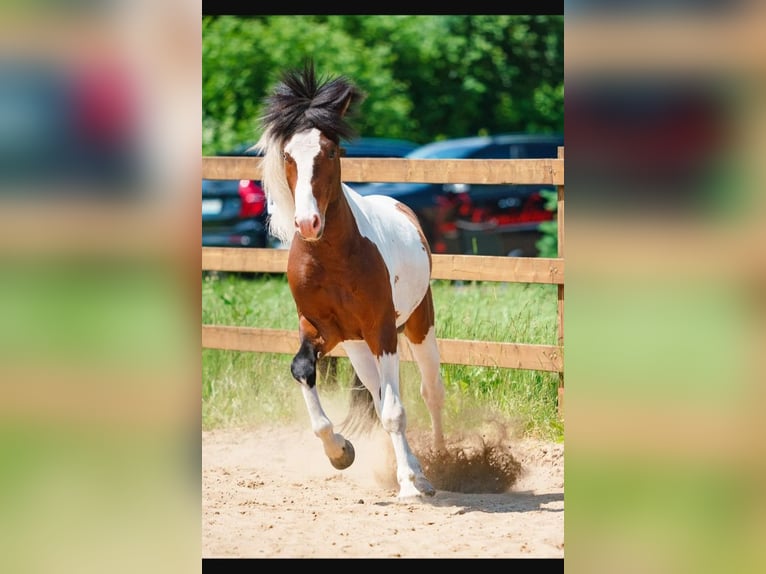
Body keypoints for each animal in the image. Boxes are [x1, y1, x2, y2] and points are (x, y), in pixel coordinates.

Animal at [255, 60, 448, 498]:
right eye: (288, 155)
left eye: (330, 151)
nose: (307, 223)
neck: (331, 258)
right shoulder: (319, 330)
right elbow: (303, 371)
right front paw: (340, 452)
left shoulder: (382, 330)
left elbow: (396, 410)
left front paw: (409, 485)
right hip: (358, 347)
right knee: (379, 396)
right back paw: (414, 468)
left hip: (417, 326)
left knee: (430, 392)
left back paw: (441, 465)